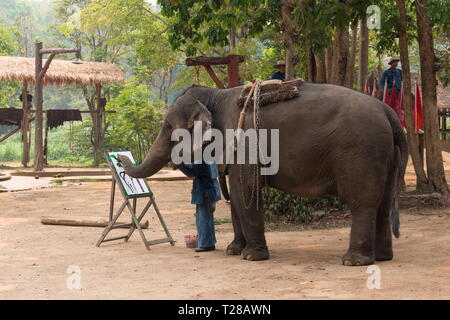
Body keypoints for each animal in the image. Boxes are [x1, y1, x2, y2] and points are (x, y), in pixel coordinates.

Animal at [119, 82, 408, 264]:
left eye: (168, 126)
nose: (120, 157)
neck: (216, 95)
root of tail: (389, 112)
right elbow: (235, 198)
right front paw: (233, 250)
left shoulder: (245, 141)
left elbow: (244, 191)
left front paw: (250, 257)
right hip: (384, 153)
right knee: (383, 203)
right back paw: (382, 257)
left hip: (361, 150)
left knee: (362, 202)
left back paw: (353, 261)